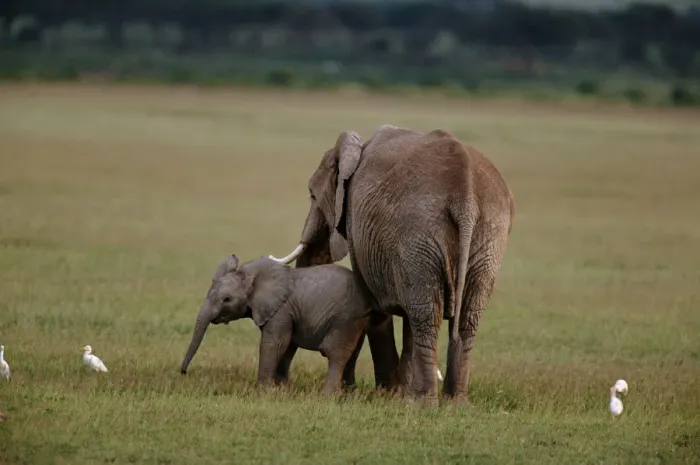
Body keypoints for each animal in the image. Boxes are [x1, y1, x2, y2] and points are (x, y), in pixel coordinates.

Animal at [180, 254, 373, 394]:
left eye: (227, 299)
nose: (183, 373)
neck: (250, 275)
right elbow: (287, 347)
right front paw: (283, 391)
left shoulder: (281, 310)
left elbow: (274, 344)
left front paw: (265, 392)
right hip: (358, 319)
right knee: (352, 353)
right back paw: (348, 394)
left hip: (345, 318)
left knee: (335, 353)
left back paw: (328, 396)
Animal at [269, 124, 515, 405]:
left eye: (312, 195)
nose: (281, 381)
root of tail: (466, 198)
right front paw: (394, 392)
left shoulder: (360, 228)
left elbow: (374, 307)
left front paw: (383, 392)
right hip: (487, 237)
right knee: (464, 318)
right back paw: (454, 404)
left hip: (421, 233)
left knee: (426, 315)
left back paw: (422, 404)